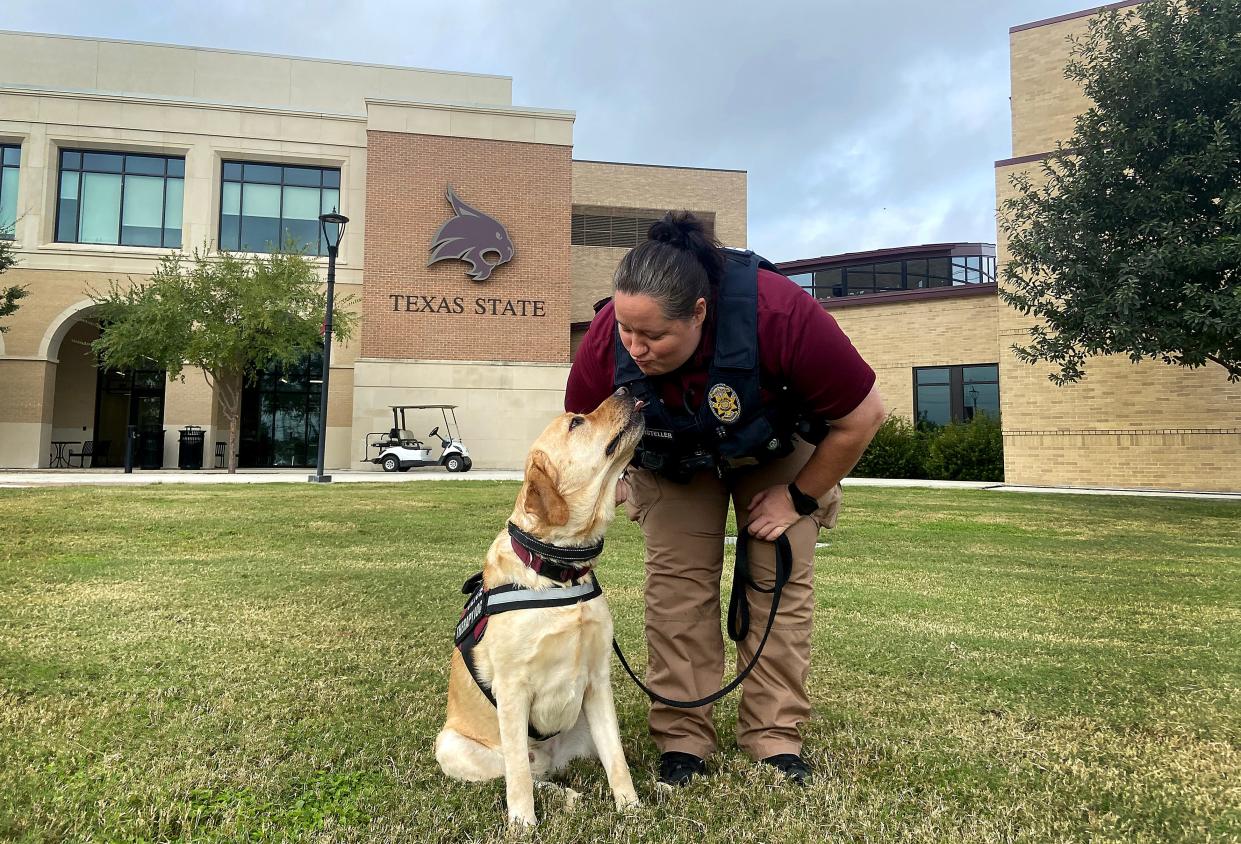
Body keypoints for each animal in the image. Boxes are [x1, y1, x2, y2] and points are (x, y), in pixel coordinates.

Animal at [436, 387, 645, 824]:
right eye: (576, 422)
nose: (625, 389)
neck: (558, 570)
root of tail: (549, 761)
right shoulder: (512, 690)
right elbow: (517, 774)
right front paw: (522, 824)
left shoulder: (598, 681)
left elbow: (616, 757)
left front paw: (632, 806)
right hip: (451, 744)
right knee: (522, 773)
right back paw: (562, 796)